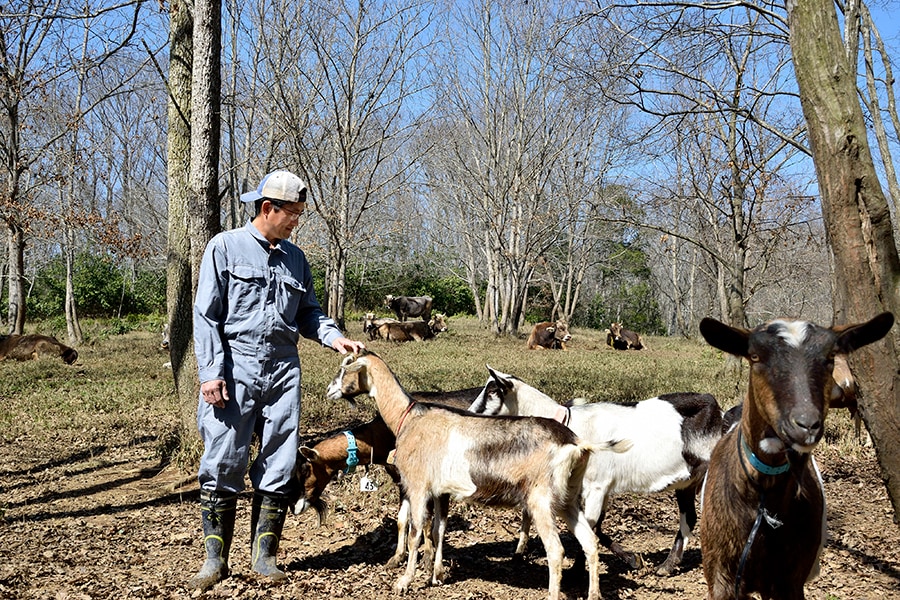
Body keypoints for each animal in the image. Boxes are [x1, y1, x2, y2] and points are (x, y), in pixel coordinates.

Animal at [326, 352, 628, 600]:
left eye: (345, 368)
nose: (330, 390)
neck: (409, 417)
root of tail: (577, 444)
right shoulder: (441, 492)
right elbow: (438, 530)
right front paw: (437, 575)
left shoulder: (418, 487)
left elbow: (415, 533)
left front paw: (404, 581)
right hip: (568, 499)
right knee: (589, 543)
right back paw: (593, 595)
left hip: (540, 500)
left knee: (556, 551)